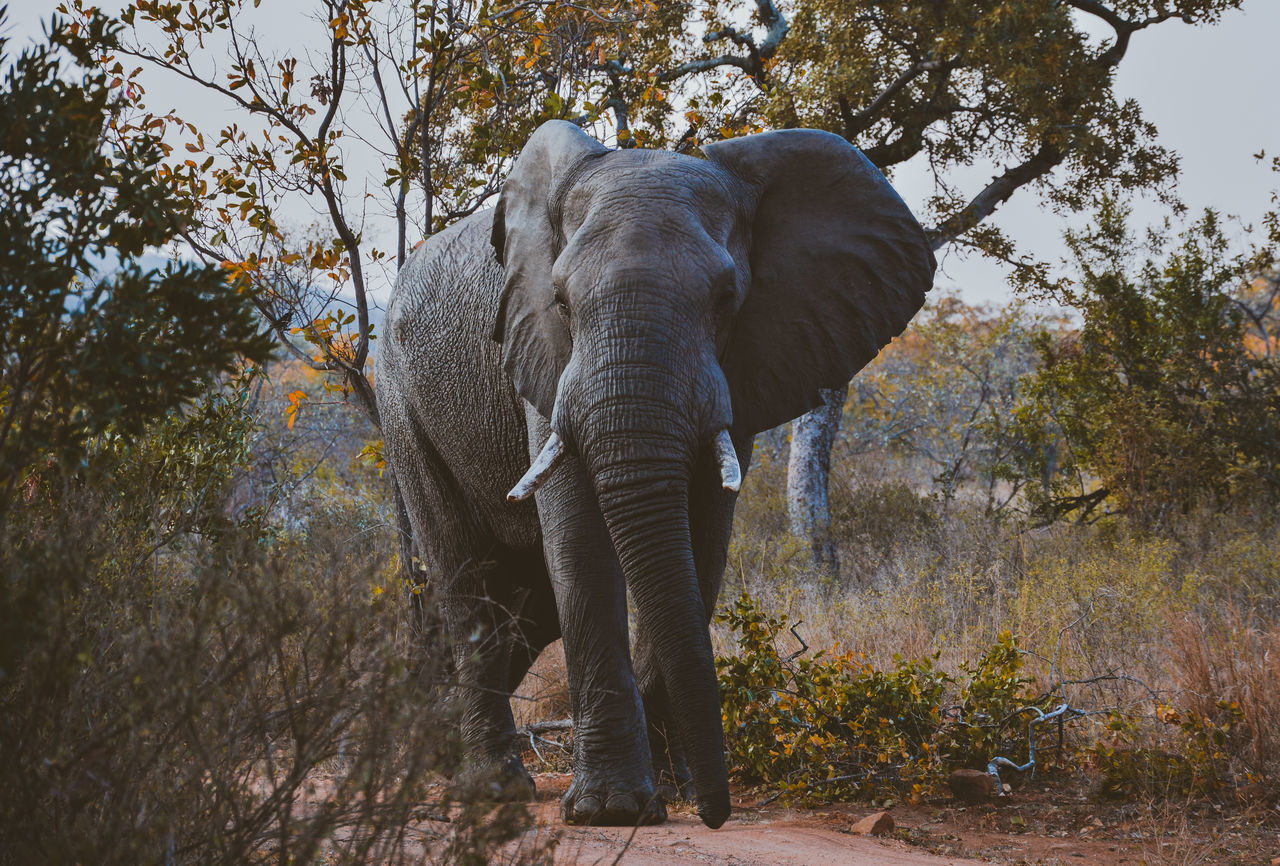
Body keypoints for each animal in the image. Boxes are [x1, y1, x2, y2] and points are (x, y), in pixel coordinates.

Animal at [373, 118, 936, 828]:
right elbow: (581, 539)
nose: (718, 813)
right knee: (467, 576)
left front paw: (673, 791)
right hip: (400, 400)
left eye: (727, 298)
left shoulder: (742, 365)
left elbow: (702, 536)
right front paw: (613, 811)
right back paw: (486, 787)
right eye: (560, 300)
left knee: (526, 604)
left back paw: (430, 754)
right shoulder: (542, 354)